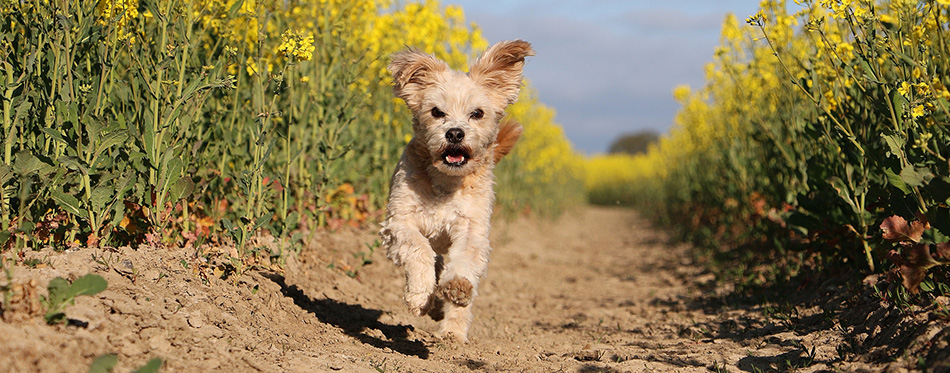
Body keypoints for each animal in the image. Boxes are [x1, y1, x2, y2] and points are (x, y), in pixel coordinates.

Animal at [382, 40, 536, 340]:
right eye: (436, 112)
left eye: (477, 113)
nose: (454, 133)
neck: (446, 182)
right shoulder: (399, 223)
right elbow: (419, 249)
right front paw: (420, 295)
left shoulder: (472, 229)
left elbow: (465, 258)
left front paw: (456, 288)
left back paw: (452, 331)